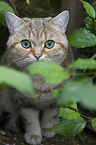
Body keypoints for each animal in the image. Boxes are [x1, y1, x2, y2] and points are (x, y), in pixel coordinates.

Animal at [0, 10, 73, 144]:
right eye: (25, 43)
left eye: (49, 44)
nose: (37, 55)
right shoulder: (23, 100)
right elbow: (30, 119)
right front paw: (34, 134)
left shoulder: (56, 99)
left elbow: (50, 115)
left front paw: (48, 128)